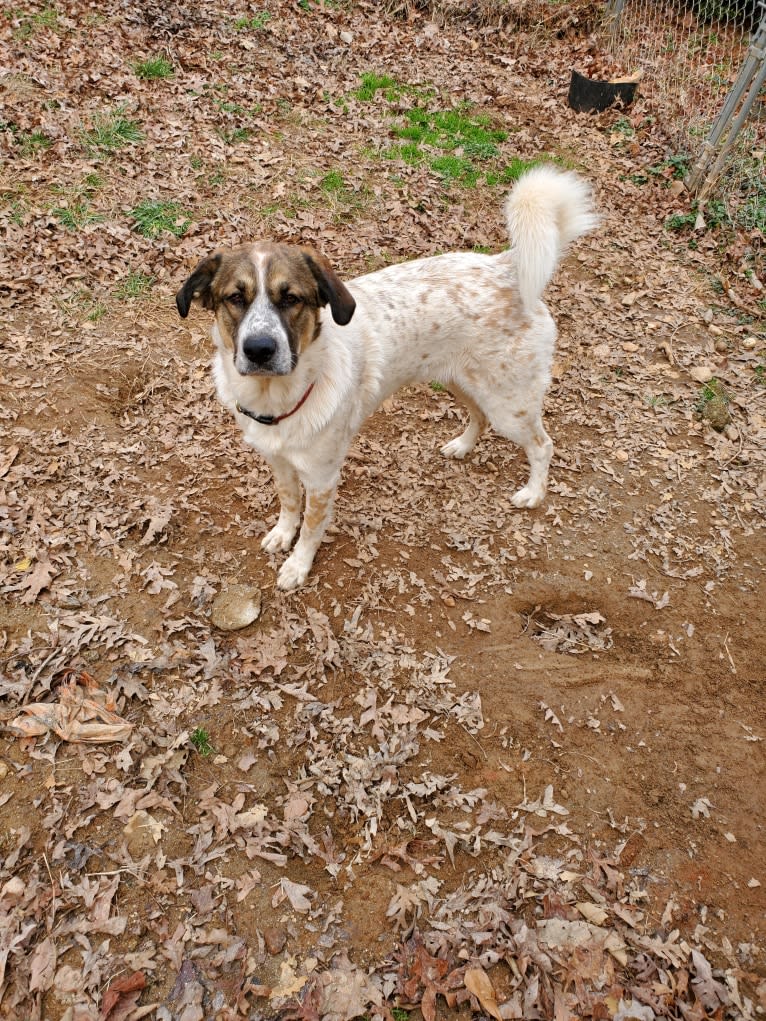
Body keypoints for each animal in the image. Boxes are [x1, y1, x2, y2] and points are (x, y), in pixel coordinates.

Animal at [178, 167, 600, 592]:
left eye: (291, 298)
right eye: (235, 297)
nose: (259, 349)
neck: (278, 399)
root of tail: (506, 266)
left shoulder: (321, 477)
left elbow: (312, 527)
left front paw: (299, 565)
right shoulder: (279, 461)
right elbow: (288, 501)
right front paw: (283, 533)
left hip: (508, 404)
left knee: (542, 445)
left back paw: (533, 492)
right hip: (461, 381)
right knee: (478, 417)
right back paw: (461, 447)